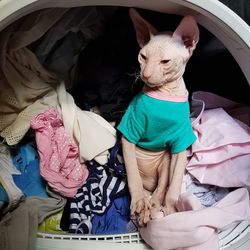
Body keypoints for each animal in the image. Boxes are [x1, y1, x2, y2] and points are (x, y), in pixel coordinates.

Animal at [117, 8, 199, 227]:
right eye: (143, 56)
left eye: (165, 61)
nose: (145, 75)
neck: (165, 93)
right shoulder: (130, 130)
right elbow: (132, 174)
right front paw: (137, 200)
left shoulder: (181, 141)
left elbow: (175, 182)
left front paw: (171, 209)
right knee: (140, 181)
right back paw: (144, 205)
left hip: (164, 163)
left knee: (161, 185)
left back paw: (153, 206)